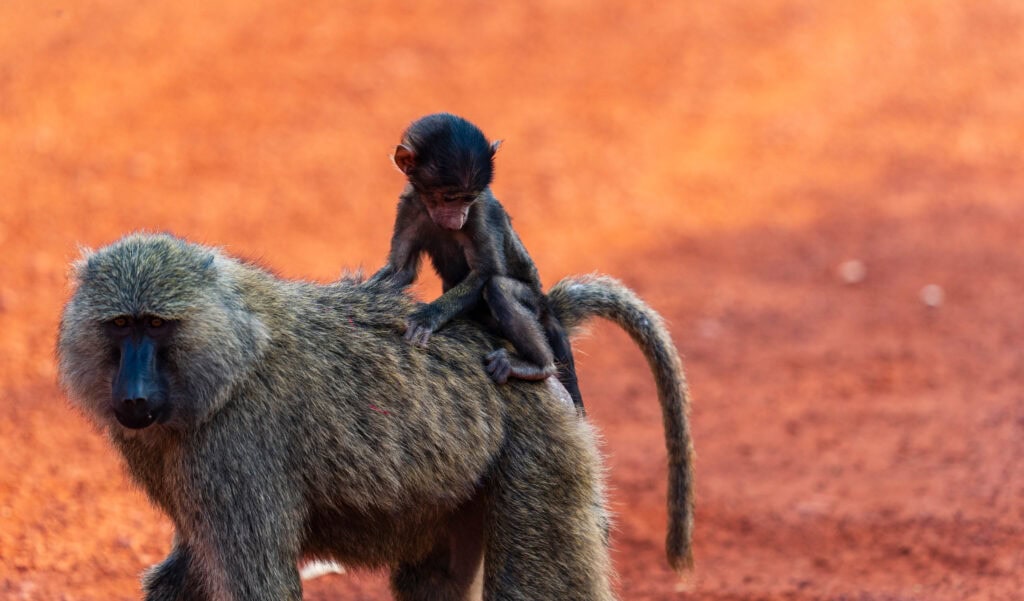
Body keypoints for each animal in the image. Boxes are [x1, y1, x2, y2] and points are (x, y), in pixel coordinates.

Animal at [57, 233, 694, 600]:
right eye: (121, 326)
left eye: (155, 325)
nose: (133, 397)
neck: (233, 348)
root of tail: (522, 340)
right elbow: (184, 576)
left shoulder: (235, 454)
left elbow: (258, 584)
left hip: (541, 449)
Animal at [368, 113, 586, 413]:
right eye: (449, 198)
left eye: (468, 198)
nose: (459, 217)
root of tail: (547, 308)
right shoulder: (409, 204)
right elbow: (400, 271)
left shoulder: (481, 211)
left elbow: (486, 273)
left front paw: (427, 317)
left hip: (534, 303)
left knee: (498, 288)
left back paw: (537, 365)